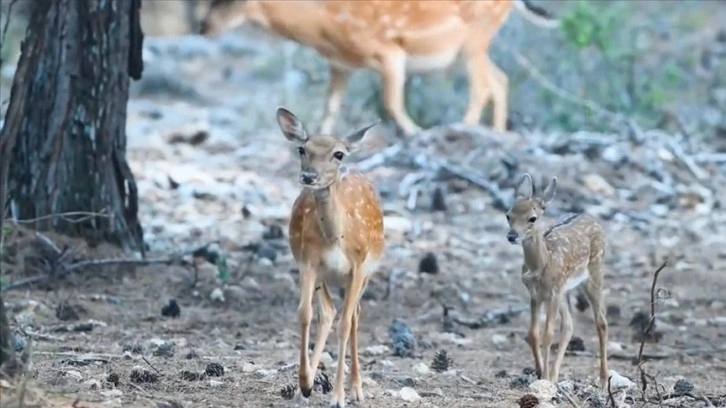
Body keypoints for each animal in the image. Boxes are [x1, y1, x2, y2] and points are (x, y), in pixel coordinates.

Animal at [199, 0, 564, 137]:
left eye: (229, 1)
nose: (204, 27)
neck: (325, 30)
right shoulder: (340, 66)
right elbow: (330, 109)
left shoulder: (387, 51)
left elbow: (391, 103)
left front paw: (416, 133)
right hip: (469, 47)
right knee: (500, 79)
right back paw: (497, 132)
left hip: (476, 35)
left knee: (483, 85)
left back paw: (462, 128)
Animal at [276, 107, 384, 406]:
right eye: (302, 149)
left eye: (338, 154)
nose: (309, 176)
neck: (338, 238)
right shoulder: (308, 262)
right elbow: (305, 313)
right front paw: (305, 383)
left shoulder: (358, 266)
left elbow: (345, 324)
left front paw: (338, 396)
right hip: (326, 277)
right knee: (328, 312)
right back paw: (306, 386)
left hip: (367, 273)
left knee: (354, 314)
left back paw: (356, 388)